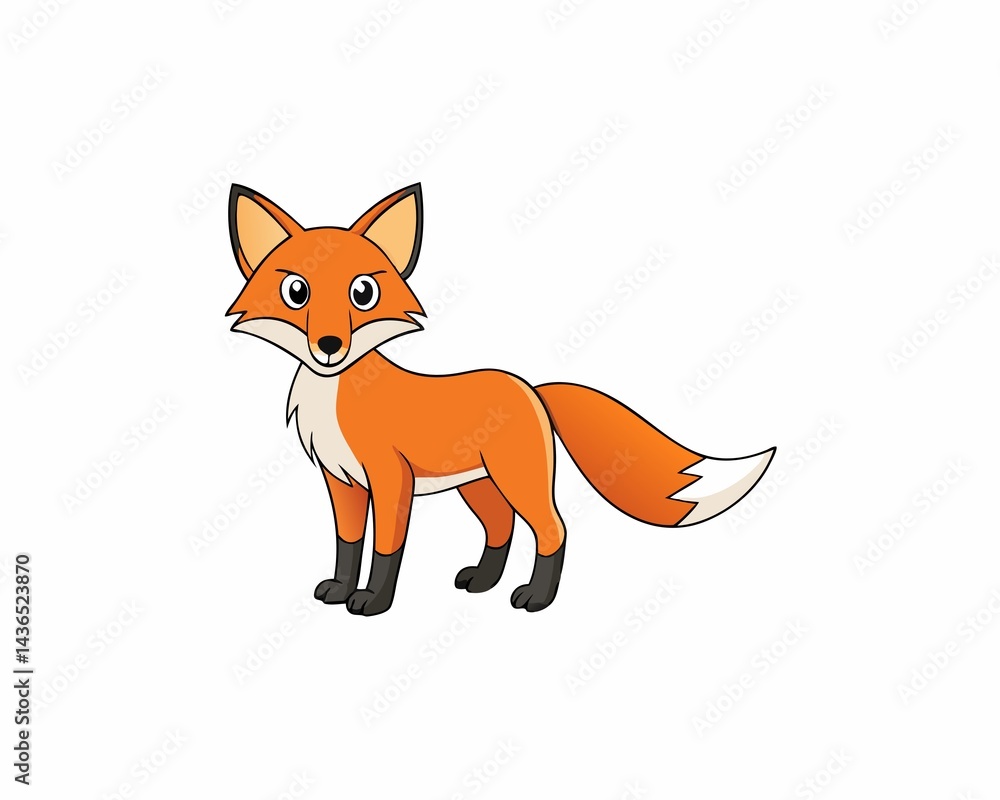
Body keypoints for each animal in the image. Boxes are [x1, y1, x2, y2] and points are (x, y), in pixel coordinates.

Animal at [225, 182, 775, 616]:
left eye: (362, 294)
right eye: (297, 292)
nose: (329, 345)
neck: (333, 395)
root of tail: (530, 387)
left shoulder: (389, 479)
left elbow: (386, 549)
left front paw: (373, 601)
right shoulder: (341, 482)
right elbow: (347, 544)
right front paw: (340, 589)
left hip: (517, 479)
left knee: (553, 530)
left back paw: (537, 597)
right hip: (480, 485)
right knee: (501, 529)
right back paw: (483, 581)